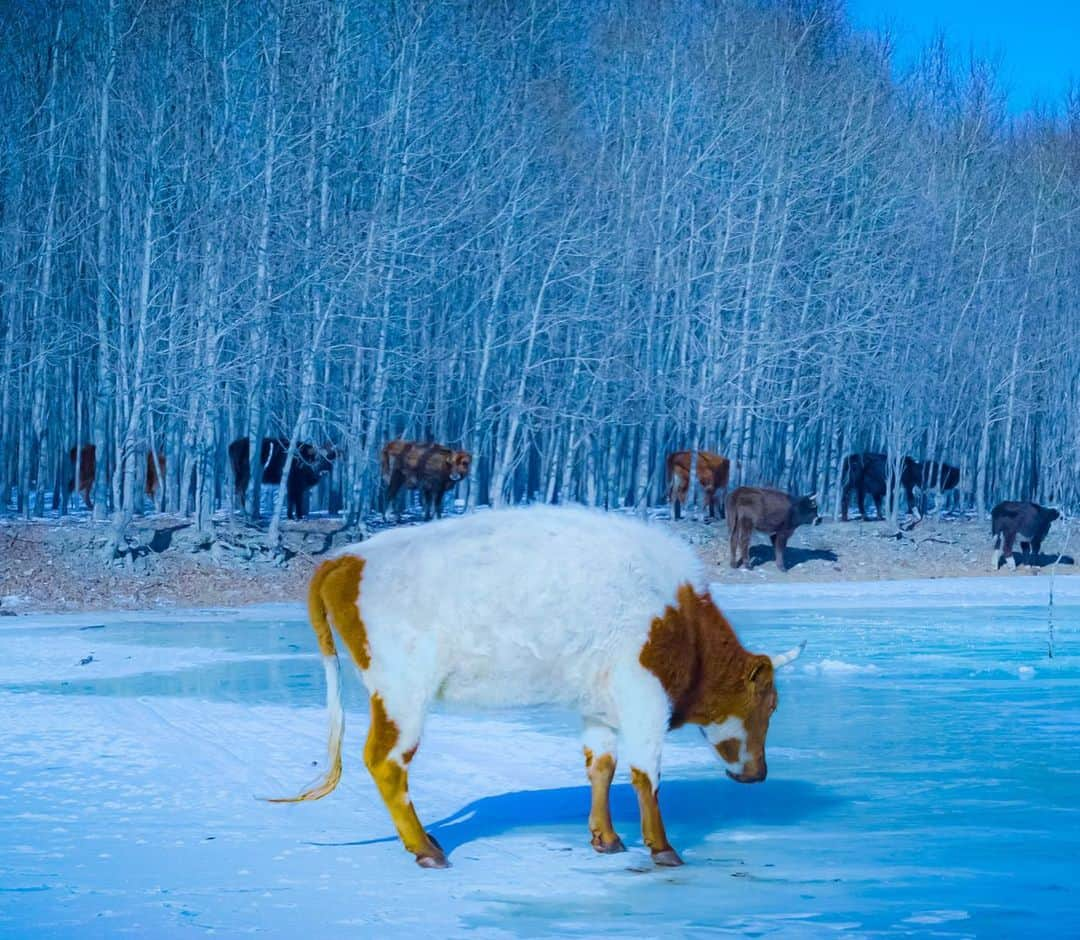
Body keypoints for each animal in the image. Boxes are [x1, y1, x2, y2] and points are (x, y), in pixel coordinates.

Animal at [268, 512, 803, 873]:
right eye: (771, 704)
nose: (759, 774)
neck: (682, 622)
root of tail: (348, 557)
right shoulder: (645, 700)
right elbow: (646, 776)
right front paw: (663, 847)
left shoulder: (600, 709)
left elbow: (602, 767)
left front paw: (606, 838)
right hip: (402, 696)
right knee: (386, 762)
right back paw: (425, 849)